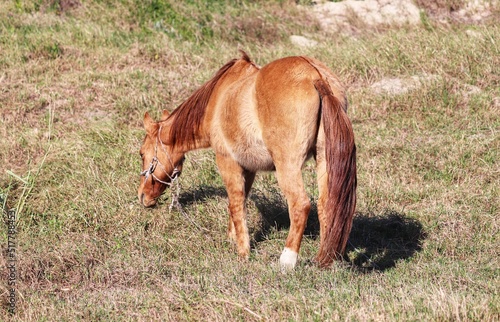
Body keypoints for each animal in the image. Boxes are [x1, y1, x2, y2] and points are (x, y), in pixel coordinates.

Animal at [137, 51, 356, 270]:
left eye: (141, 153)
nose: (142, 196)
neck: (218, 98)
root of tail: (314, 76)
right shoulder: (249, 169)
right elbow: (240, 201)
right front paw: (233, 238)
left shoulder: (227, 162)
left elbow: (235, 202)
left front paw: (243, 253)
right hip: (324, 160)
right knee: (326, 205)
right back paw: (326, 258)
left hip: (287, 166)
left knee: (300, 204)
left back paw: (287, 261)